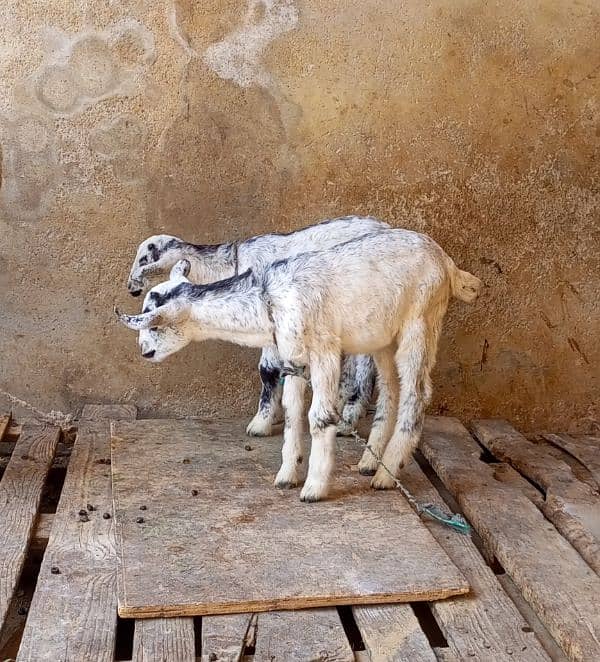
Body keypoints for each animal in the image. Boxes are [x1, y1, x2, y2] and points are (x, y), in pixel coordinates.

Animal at [125, 217, 384, 436]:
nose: (131, 288)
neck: (232, 265)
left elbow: (267, 369)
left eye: (143, 260)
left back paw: (348, 419)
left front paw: (260, 424)